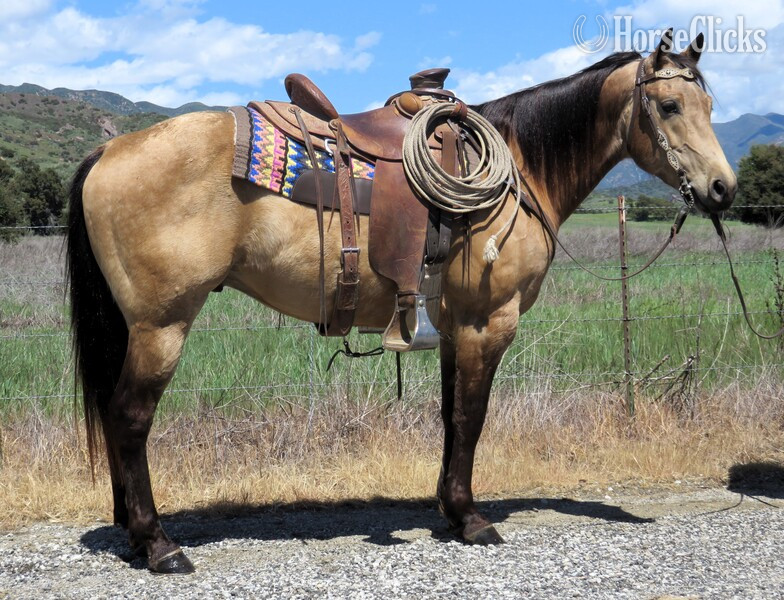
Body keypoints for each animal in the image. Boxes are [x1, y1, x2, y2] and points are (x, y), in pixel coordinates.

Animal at [66, 33, 735, 573]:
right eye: (669, 106)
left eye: (709, 106)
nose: (722, 188)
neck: (523, 168)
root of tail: (111, 151)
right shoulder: (489, 322)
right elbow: (471, 418)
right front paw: (471, 520)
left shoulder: (455, 326)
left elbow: (450, 417)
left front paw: (449, 510)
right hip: (162, 324)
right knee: (129, 418)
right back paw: (159, 545)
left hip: (137, 327)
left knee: (116, 416)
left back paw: (134, 534)